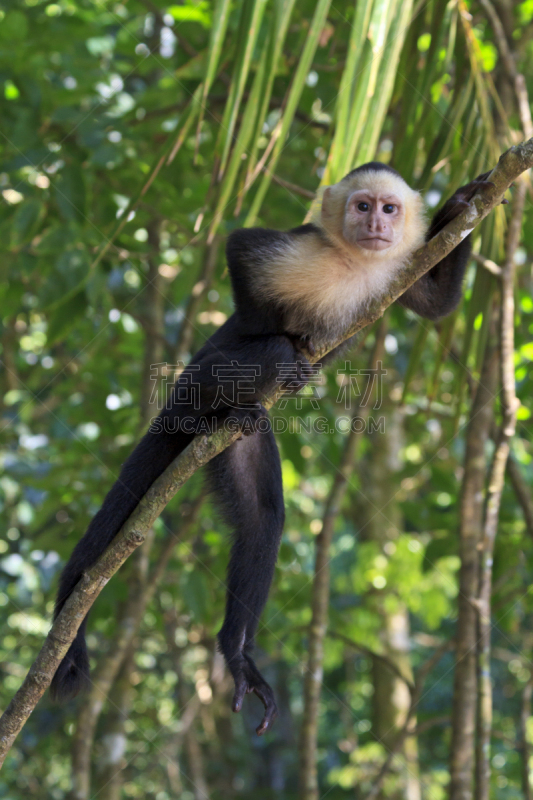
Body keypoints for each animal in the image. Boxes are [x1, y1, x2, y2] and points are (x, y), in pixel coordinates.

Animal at [50, 162, 498, 736]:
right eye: (361, 206)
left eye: (389, 208)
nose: (376, 224)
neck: (356, 261)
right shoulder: (305, 251)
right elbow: (242, 252)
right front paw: (284, 341)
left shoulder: (400, 267)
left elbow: (437, 304)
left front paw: (459, 204)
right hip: (194, 381)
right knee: (239, 364)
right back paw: (244, 386)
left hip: (235, 445)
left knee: (263, 518)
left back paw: (237, 653)